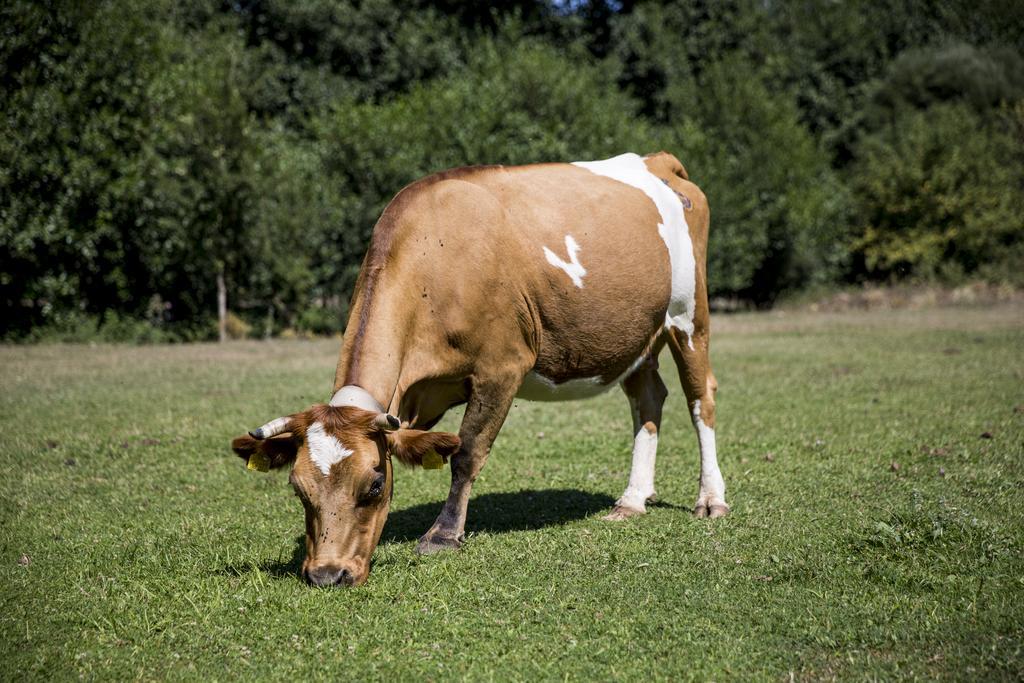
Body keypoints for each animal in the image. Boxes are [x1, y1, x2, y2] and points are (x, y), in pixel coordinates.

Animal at [232, 150, 729, 589]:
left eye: (374, 484)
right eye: (298, 489)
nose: (327, 574)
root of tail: (654, 160)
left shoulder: (502, 367)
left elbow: (467, 451)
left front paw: (444, 534)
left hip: (689, 315)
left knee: (700, 397)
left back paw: (711, 499)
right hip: (637, 333)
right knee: (648, 399)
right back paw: (632, 500)